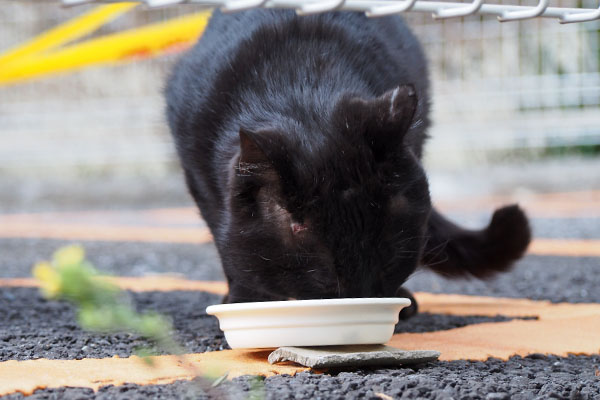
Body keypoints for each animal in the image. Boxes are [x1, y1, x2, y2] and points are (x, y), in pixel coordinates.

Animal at [166, 9, 532, 318]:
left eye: (389, 261)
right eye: (326, 277)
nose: (364, 295)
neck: (301, 86)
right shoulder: (198, 178)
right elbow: (228, 245)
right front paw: (244, 299)